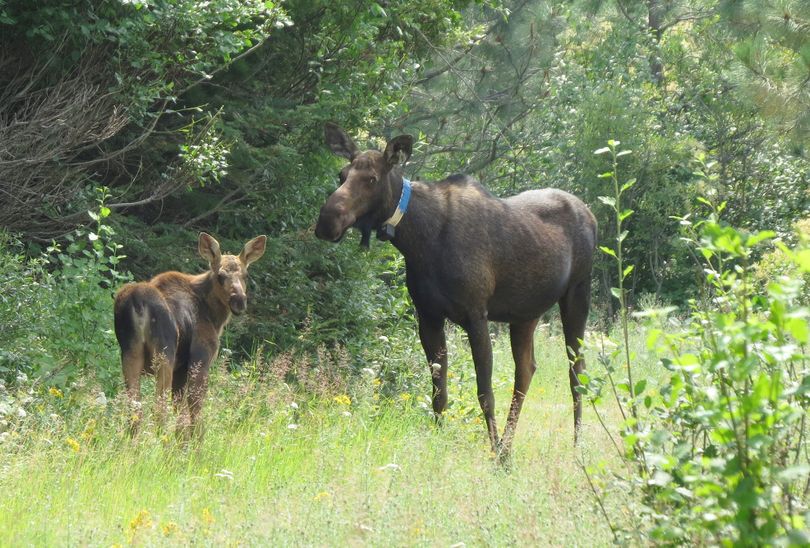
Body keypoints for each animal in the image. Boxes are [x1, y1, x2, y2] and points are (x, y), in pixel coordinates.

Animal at [113, 232, 266, 436]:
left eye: (246, 275)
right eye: (220, 275)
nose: (239, 301)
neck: (214, 317)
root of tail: (137, 302)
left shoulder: (180, 369)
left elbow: (180, 414)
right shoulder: (200, 358)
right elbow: (195, 412)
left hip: (130, 352)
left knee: (135, 408)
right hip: (164, 353)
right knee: (159, 408)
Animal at [314, 125, 592, 458]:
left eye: (371, 179)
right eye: (342, 174)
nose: (326, 222)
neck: (417, 241)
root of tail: (590, 212)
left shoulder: (476, 315)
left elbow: (484, 392)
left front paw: (493, 457)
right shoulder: (428, 316)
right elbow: (439, 391)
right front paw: (444, 443)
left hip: (577, 294)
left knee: (577, 371)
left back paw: (575, 447)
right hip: (525, 313)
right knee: (526, 370)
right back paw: (508, 448)